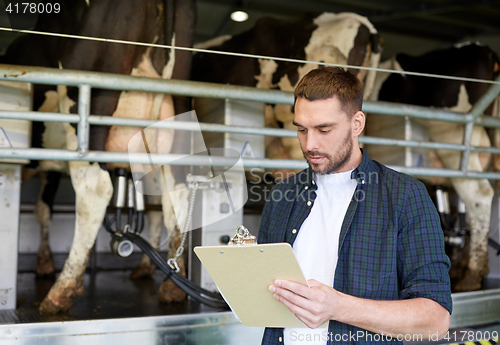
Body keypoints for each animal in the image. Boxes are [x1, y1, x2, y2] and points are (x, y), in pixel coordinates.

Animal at [2, 0, 197, 312]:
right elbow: (43, 209)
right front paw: (44, 262)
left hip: (90, 106)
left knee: (95, 191)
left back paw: (61, 290)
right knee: (175, 196)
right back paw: (171, 287)